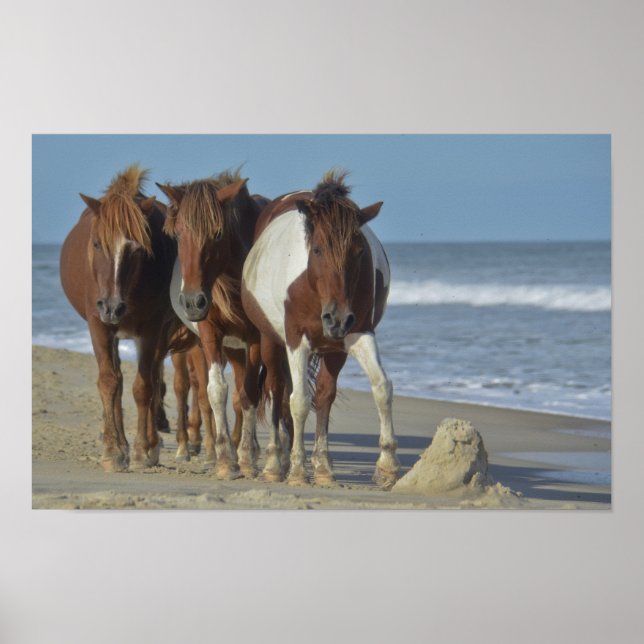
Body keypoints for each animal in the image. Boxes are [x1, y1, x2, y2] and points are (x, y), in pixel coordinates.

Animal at [59, 164, 191, 471]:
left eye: (137, 249)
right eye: (97, 244)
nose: (112, 307)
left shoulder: (152, 329)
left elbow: (144, 386)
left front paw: (143, 450)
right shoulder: (98, 325)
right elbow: (109, 382)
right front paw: (113, 450)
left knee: (152, 378)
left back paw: (151, 442)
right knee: (117, 380)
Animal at [157, 170, 284, 479]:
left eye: (217, 234)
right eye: (179, 234)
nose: (192, 302)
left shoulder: (255, 338)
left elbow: (249, 395)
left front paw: (246, 458)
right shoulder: (210, 334)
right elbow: (216, 391)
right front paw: (226, 460)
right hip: (230, 348)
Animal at [241, 170, 400, 488]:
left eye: (359, 251)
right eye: (316, 249)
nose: (336, 318)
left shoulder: (357, 335)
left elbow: (381, 387)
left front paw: (386, 467)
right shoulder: (296, 340)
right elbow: (299, 401)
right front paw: (298, 470)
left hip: (332, 349)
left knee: (323, 394)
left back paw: (318, 465)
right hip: (270, 341)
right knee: (277, 390)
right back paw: (275, 463)